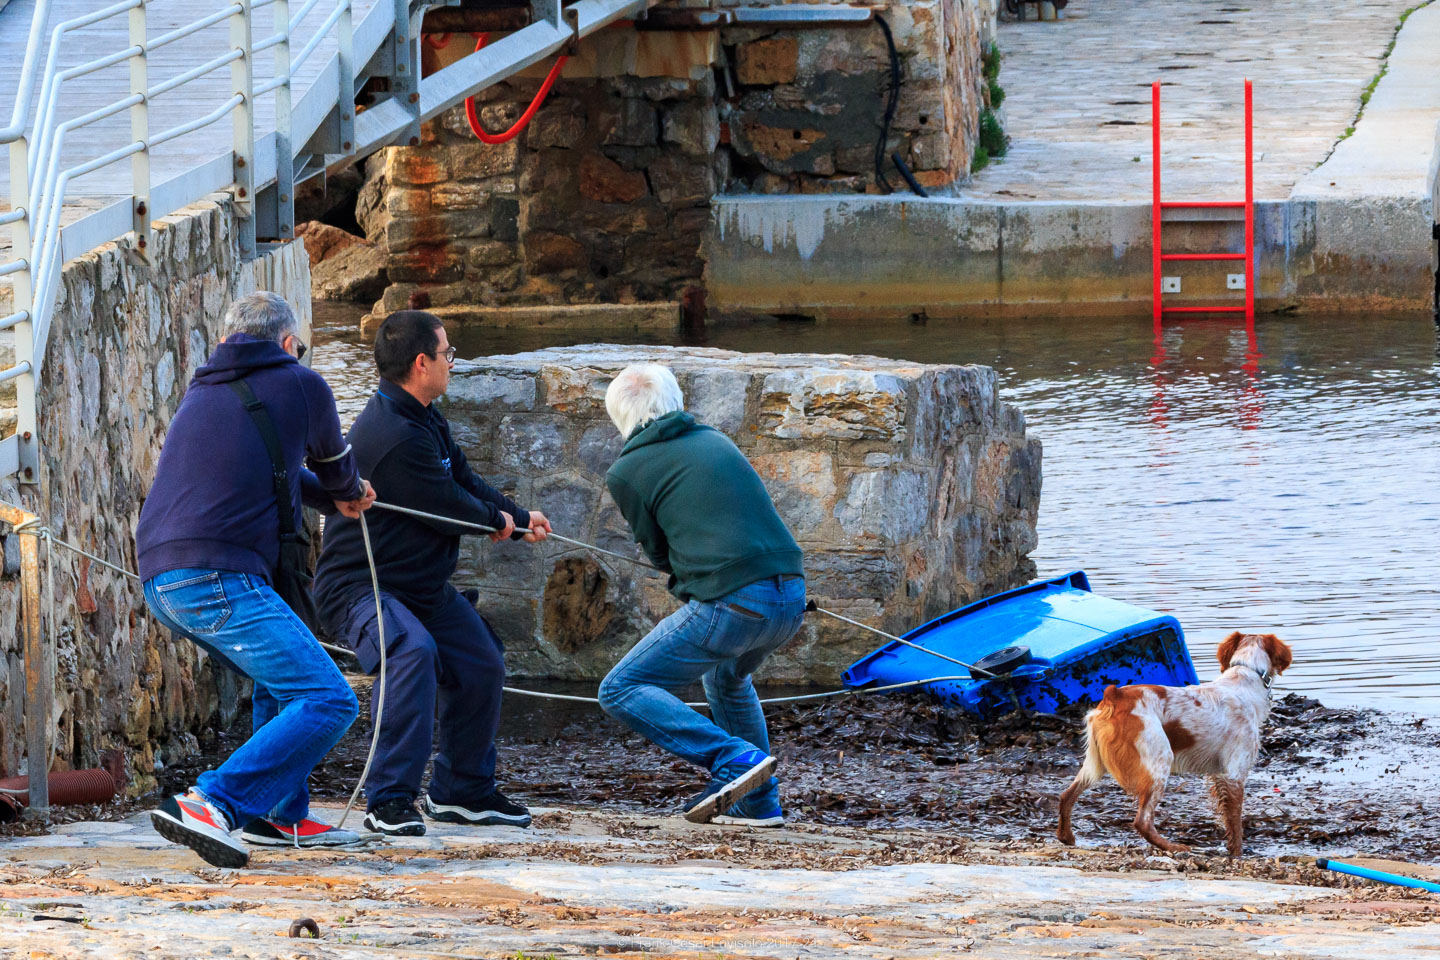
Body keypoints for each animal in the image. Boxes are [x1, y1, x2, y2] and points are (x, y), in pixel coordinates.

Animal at [1059, 633, 1296, 857]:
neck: (1246, 676)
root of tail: (1114, 696)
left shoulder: (1220, 775)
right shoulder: (1235, 774)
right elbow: (1236, 825)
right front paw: (1237, 855)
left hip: (1095, 763)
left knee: (1067, 795)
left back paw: (1065, 836)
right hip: (1159, 763)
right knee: (1142, 821)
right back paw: (1174, 847)